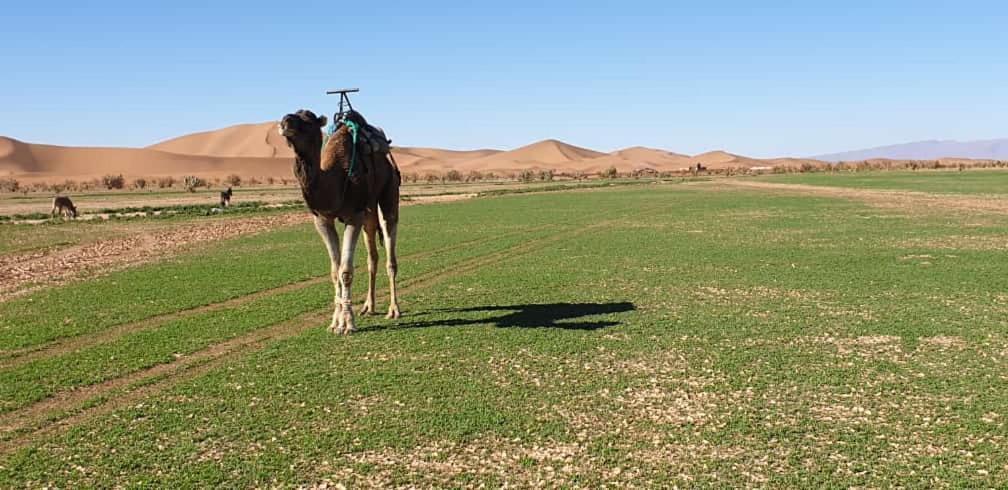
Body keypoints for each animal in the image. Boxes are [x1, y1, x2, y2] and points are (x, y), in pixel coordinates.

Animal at [280, 108, 401, 334]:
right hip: (368, 212)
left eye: (308, 120)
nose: (285, 122)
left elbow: (345, 271)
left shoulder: (354, 216)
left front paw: (347, 323)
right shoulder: (322, 220)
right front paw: (335, 322)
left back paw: (394, 309)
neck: (335, 179)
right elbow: (334, 271)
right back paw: (368, 307)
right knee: (372, 256)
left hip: (389, 190)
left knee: (390, 247)